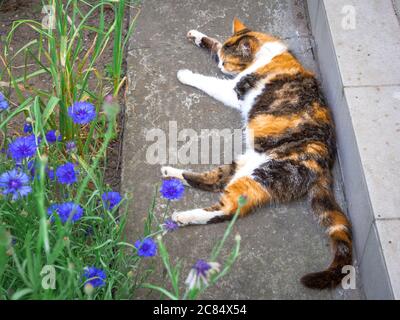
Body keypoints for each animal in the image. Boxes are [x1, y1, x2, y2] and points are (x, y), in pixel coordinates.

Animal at [161, 19, 352, 290]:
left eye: (227, 62)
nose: (220, 65)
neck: (267, 54)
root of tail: (324, 165)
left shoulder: (233, 89)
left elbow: (210, 82)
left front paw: (186, 74)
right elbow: (216, 43)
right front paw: (197, 36)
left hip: (261, 174)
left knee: (227, 210)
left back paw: (183, 216)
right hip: (245, 162)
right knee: (215, 181)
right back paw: (171, 173)